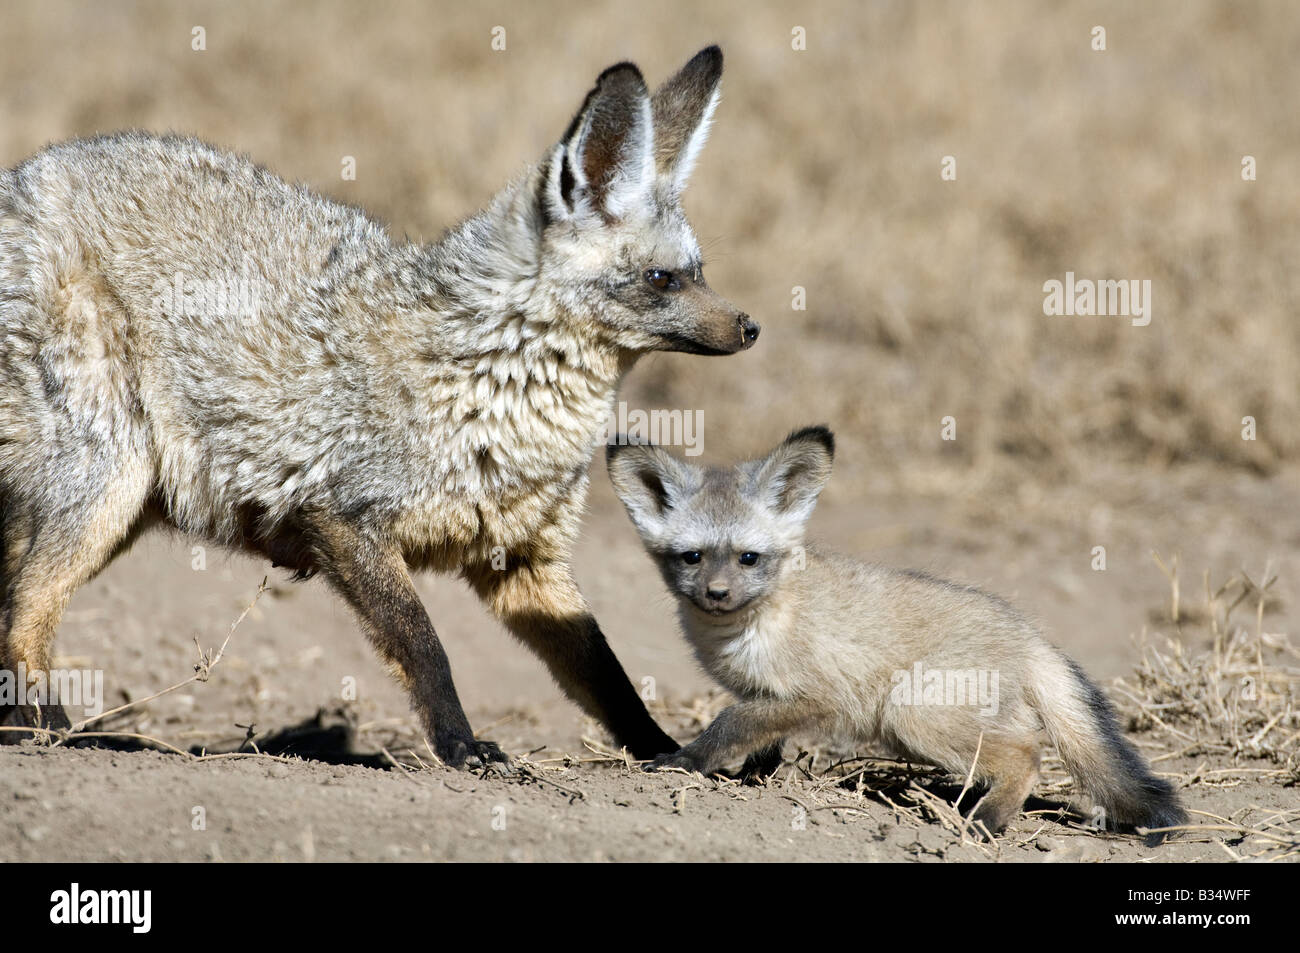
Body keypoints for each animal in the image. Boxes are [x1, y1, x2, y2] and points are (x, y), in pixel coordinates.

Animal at [0, 48, 759, 769]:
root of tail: (25, 174)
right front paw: (462, 747)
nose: (751, 328)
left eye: (700, 273)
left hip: (121, 504)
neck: (492, 389)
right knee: (23, 614)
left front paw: (669, 751)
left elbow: (609, 675)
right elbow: (425, 645)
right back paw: (50, 729)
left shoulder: (526, 563)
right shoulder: (341, 519)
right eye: (662, 280)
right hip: (107, 483)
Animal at [608, 426, 1190, 842]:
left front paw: (685, 762)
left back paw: (984, 821)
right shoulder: (766, 696)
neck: (755, 625)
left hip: (912, 711)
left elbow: (728, 724)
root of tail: (1029, 635)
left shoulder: (812, 696)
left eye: (748, 558)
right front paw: (752, 779)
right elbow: (758, 742)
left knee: (1028, 756)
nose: (717, 593)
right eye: (693, 557)